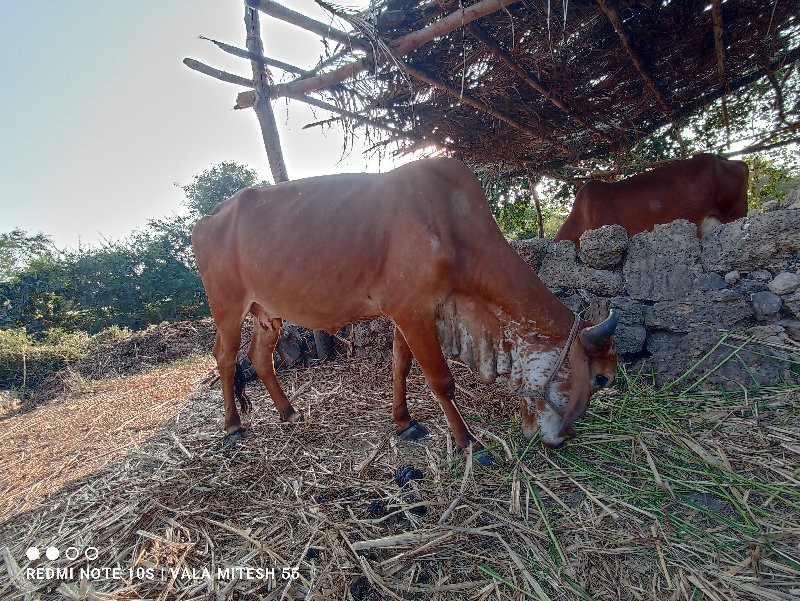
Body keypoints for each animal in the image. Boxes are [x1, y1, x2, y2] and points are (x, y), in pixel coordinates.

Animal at [194, 157, 620, 462]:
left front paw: (404, 421)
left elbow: (401, 365)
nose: (562, 440)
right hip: (228, 307)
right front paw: (470, 443)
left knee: (258, 357)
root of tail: (206, 220)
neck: (452, 223)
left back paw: (288, 412)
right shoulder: (414, 310)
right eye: (601, 379)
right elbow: (441, 380)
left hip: (268, 312)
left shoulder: (407, 312)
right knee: (225, 358)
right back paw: (233, 427)